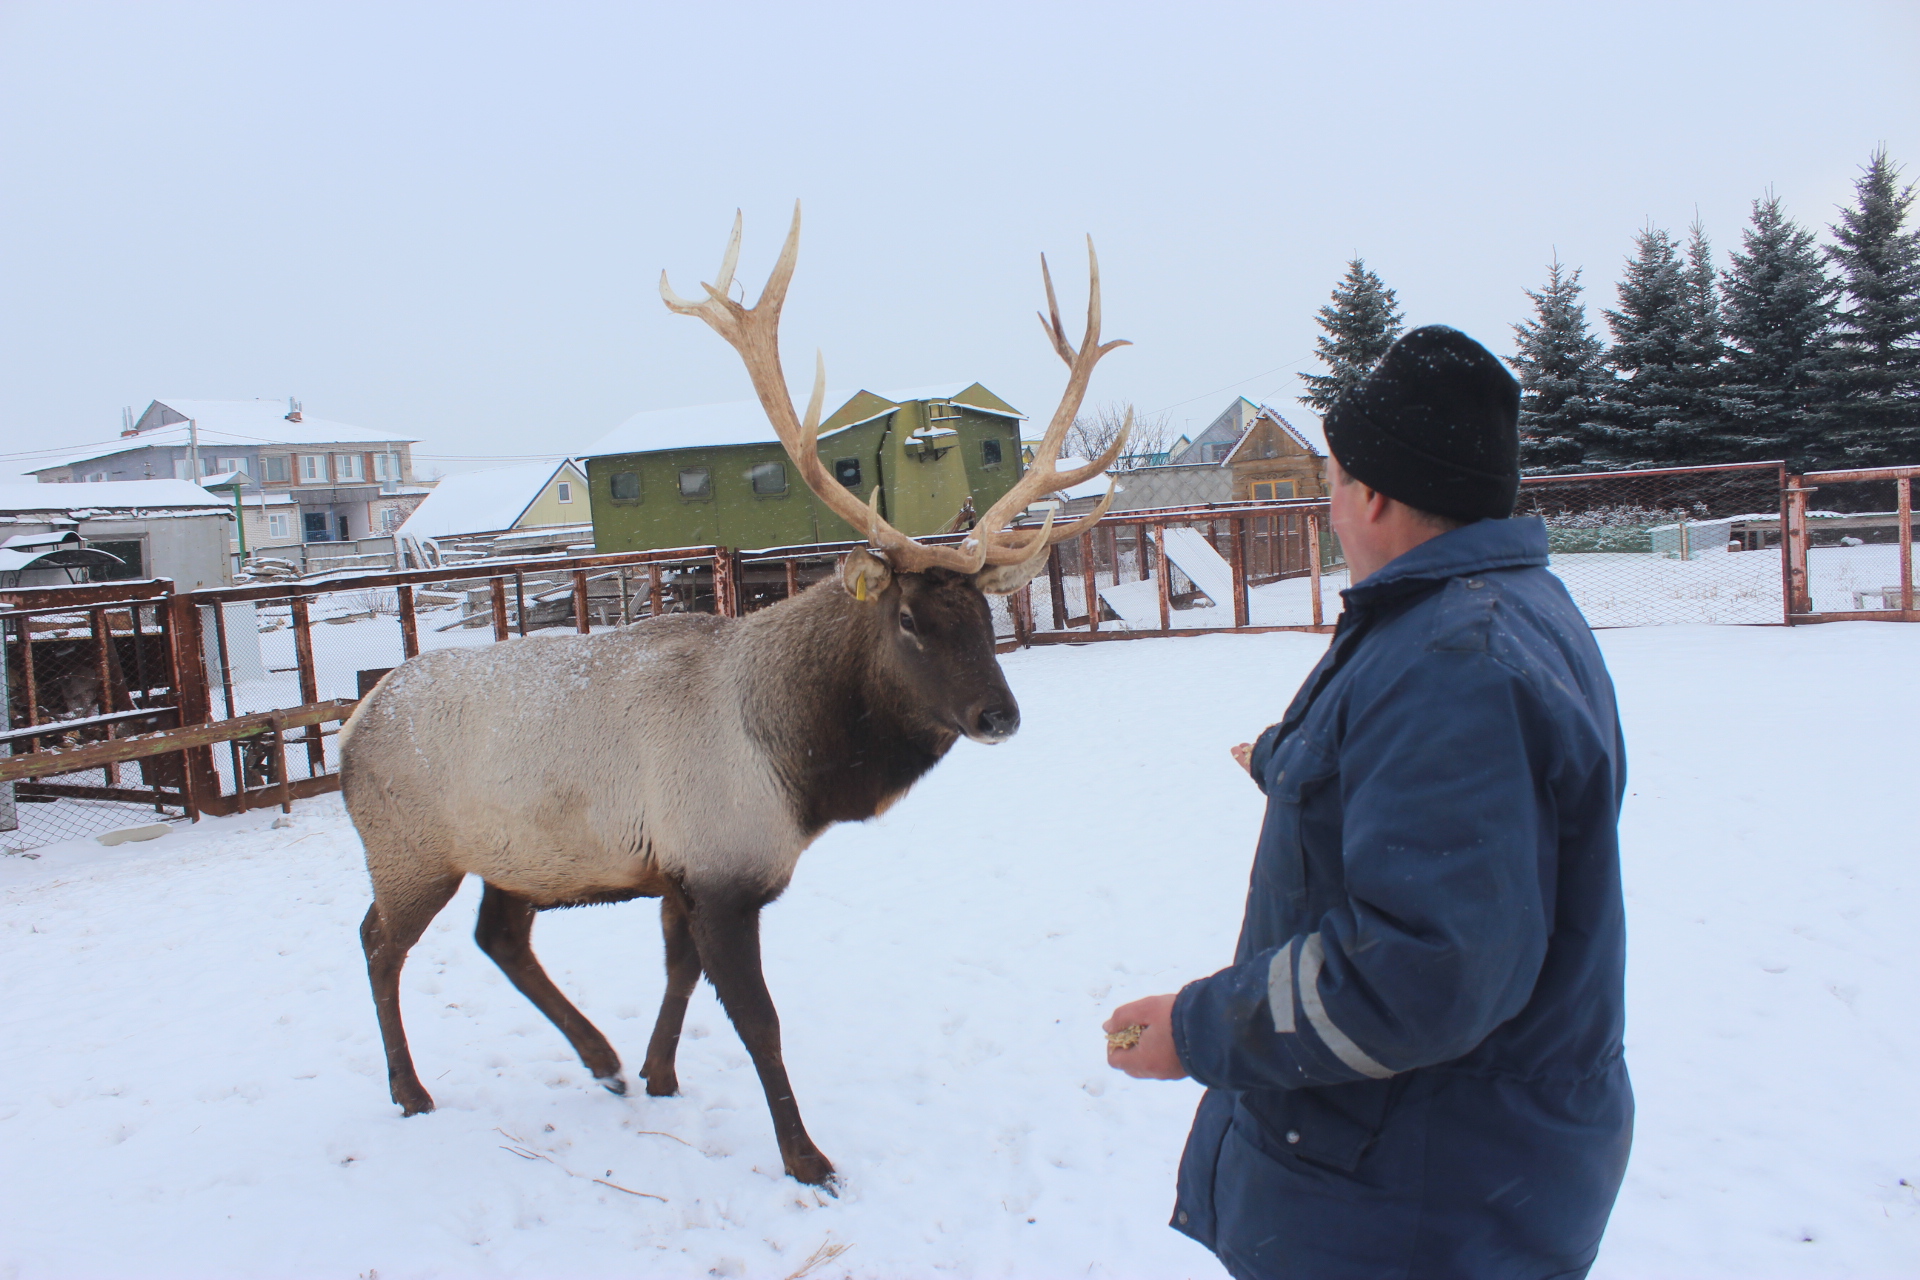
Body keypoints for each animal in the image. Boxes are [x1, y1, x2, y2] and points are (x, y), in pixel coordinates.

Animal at [341, 205, 1121, 1189]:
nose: (1000, 714)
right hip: (409, 851)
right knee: (378, 942)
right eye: (910, 618)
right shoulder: (720, 871)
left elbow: (678, 977)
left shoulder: (680, 872)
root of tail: (349, 725)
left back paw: (598, 1059)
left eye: (985, 614)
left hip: (516, 857)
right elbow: (758, 1020)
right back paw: (411, 1090)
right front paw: (806, 1157)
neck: (800, 772)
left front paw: (656, 1071)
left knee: (499, 937)